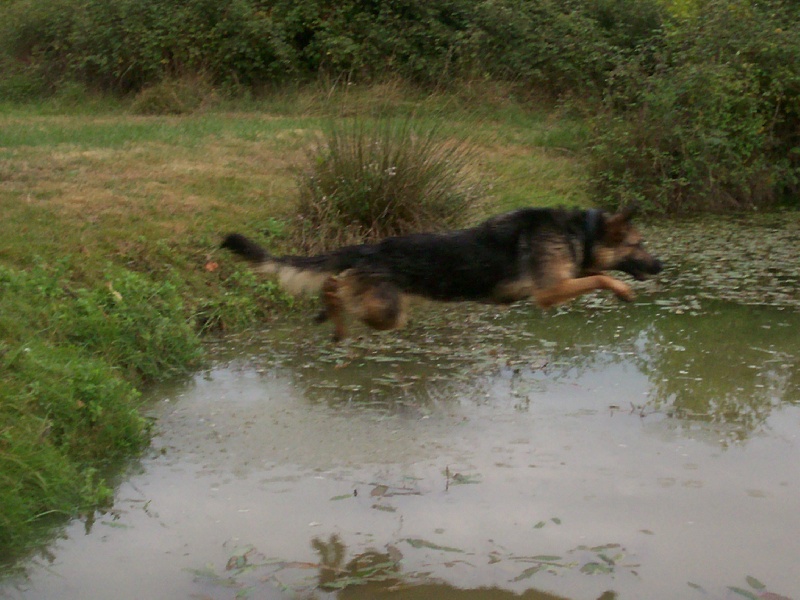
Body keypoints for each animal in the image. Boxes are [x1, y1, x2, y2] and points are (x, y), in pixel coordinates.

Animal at [220, 209, 664, 342]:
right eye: (639, 243)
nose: (660, 265)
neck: (581, 231)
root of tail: (366, 248)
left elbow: (594, 273)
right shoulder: (551, 291)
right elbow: (598, 278)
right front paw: (622, 291)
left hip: (384, 310)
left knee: (335, 286)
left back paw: (336, 328)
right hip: (389, 311)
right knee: (337, 286)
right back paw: (332, 312)